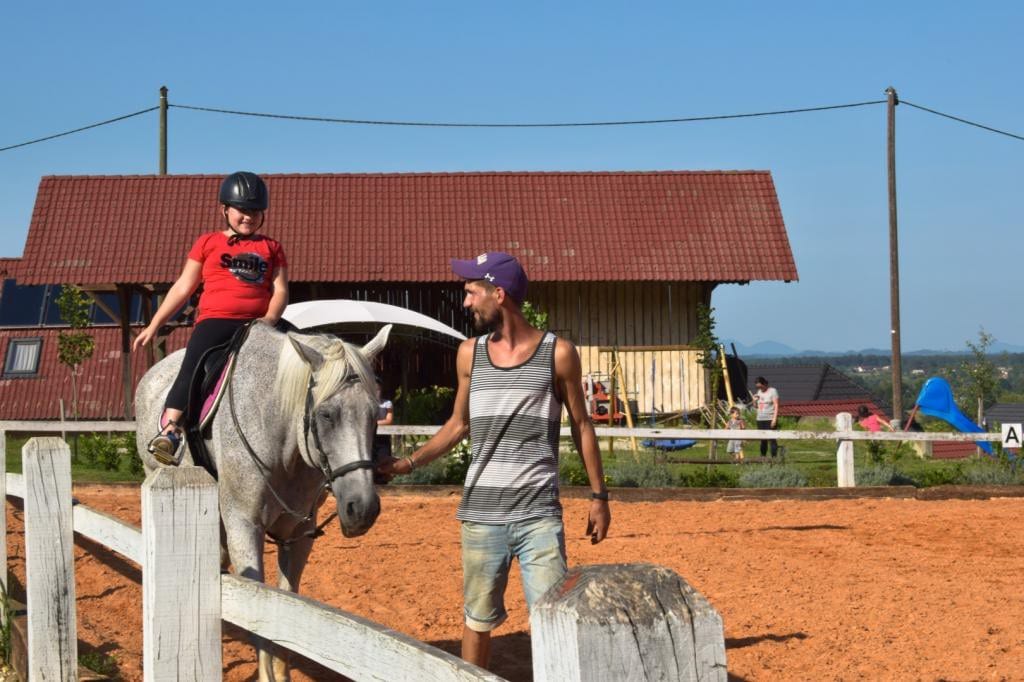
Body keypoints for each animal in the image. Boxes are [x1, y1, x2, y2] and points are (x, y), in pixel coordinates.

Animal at [134, 319, 389, 679]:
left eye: (374, 415)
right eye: (327, 415)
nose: (363, 508)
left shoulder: (299, 535)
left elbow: (282, 604)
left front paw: (281, 673)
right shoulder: (244, 526)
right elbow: (257, 606)